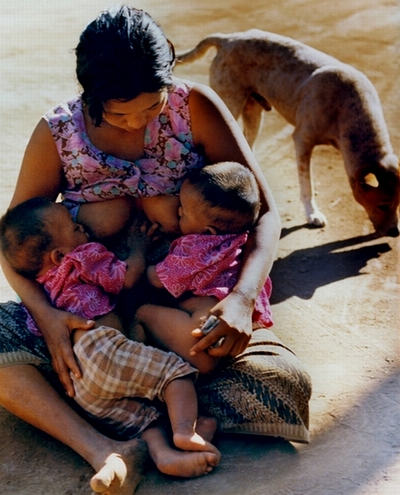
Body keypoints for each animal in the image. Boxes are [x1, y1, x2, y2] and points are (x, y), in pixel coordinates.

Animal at [177, 30, 400, 236]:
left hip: (253, 115)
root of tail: (228, 38)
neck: (347, 108)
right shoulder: (302, 141)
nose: (395, 232)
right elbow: (307, 185)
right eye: (382, 205)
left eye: (398, 203)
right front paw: (312, 214)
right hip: (229, 106)